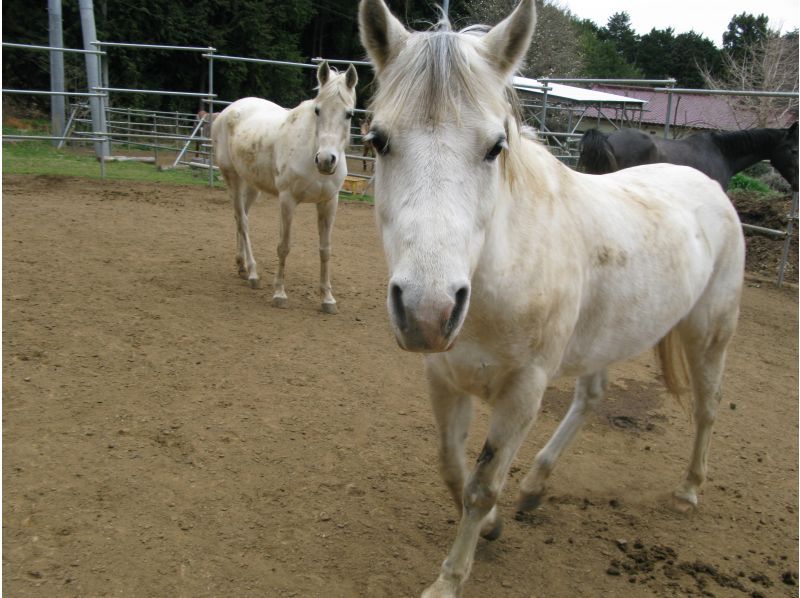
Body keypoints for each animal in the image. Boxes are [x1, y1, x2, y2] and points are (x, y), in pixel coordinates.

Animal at [211, 61, 358, 314]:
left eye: (348, 114)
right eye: (317, 110)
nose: (326, 161)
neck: (310, 150)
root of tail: (228, 110)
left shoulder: (329, 202)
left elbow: (325, 249)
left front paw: (327, 299)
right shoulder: (287, 200)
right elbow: (284, 246)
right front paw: (279, 294)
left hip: (252, 185)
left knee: (240, 218)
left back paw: (241, 265)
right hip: (232, 178)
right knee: (243, 221)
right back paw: (253, 273)